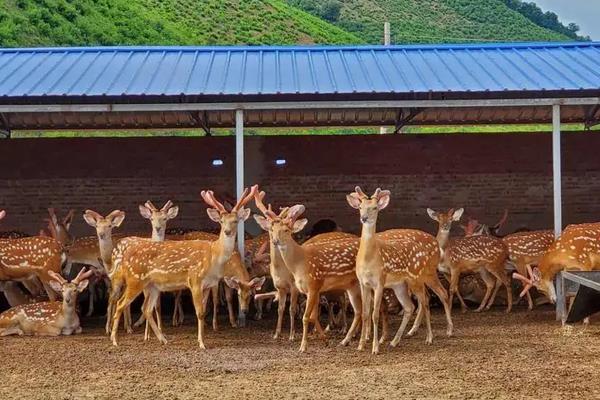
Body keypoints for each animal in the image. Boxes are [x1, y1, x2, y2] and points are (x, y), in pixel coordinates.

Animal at [110, 187, 262, 346]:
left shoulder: (208, 284)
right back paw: (115, 340)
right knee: (121, 303)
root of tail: (125, 257)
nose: (227, 231)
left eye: (235, 221)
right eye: (221, 221)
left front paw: (203, 337)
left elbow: (204, 309)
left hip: (152, 286)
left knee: (146, 309)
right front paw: (201, 343)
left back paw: (163, 339)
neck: (214, 256)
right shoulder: (195, 279)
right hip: (135, 280)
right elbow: (199, 312)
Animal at [253, 191, 360, 354]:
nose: (275, 241)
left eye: (287, 230)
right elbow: (283, 309)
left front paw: (297, 340)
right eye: (270, 228)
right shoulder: (284, 288)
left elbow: (298, 312)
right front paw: (277, 334)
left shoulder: (303, 287)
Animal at [344, 188, 452, 354]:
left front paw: (375, 346)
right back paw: (396, 341)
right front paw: (361, 345)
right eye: (360, 207)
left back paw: (433, 336)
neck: (368, 259)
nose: (364, 218)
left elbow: (375, 313)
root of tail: (436, 244)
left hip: (420, 276)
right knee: (410, 306)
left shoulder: (380, 282)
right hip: (400, 285)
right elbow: (365, 313)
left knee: (429, 299)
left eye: (375, 208)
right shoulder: (363, 283)